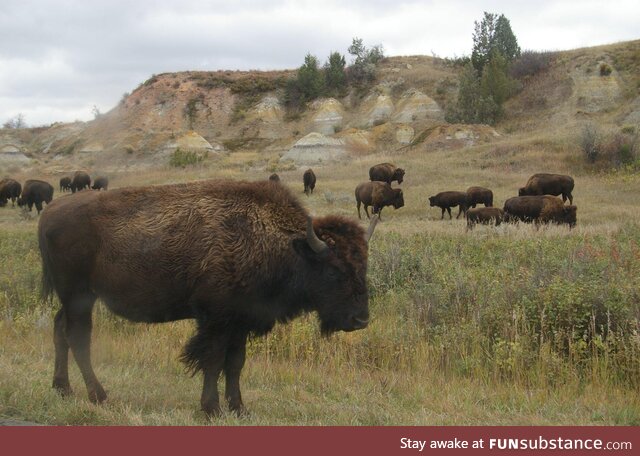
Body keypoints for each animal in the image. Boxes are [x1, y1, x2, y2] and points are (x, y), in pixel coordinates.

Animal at [38, 178, 380, 416]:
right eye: (334, 270)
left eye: (363, 265)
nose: (361, 319)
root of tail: (49, 213)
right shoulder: (216, 320)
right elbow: (213, 361)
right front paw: (211, 409)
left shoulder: (241, 321)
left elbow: (235, 363)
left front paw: (239, 408)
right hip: (78, 295)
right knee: (78, 337)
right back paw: (99, 395)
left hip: (74, 298)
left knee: (59, 330)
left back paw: (63, 389)